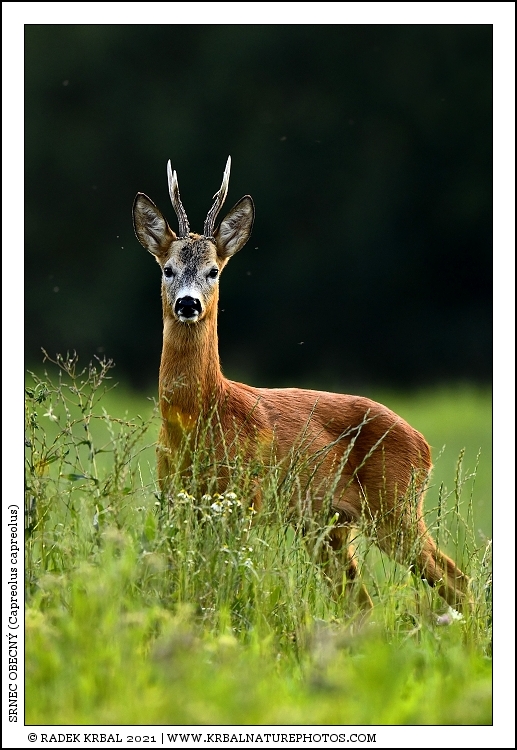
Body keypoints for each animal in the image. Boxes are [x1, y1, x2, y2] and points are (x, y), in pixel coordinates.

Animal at [132, 156, 470, 612]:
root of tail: (424, 445)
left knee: (456, 579)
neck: (202, 415)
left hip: (395, 507)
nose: (188, 303)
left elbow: (226, 584)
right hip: (329, 525)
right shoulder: (175, 498)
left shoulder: (246, 497)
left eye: (213, 270)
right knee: (361, 601)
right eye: (167, 269)